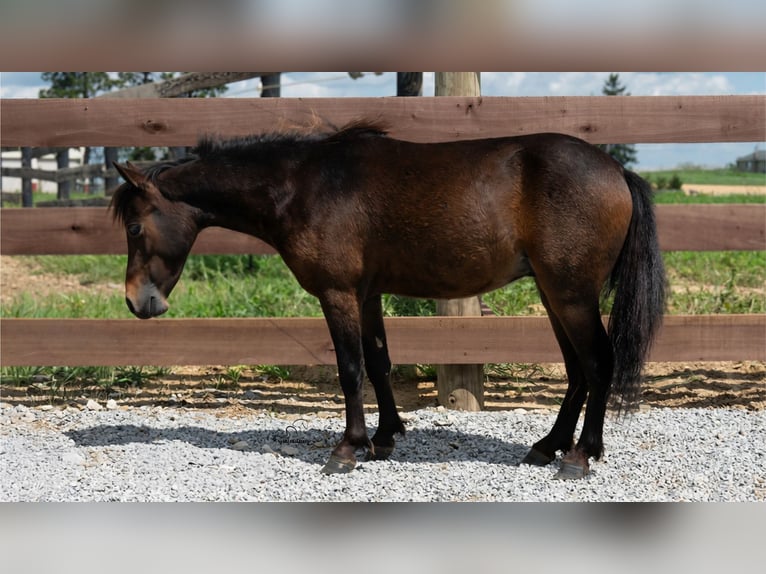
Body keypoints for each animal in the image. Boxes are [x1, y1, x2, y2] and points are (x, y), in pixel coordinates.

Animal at [111, 120, 666, 480]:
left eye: (135, 227)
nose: (137, 301)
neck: (303, 186)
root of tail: (616, 171)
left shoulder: (336, 294)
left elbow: (350, 368)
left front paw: (348, 448)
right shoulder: (367, 294)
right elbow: (378, 362)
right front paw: (384, 437)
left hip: (570, 295)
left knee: (598, 362)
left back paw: (580, 456)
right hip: (555, 295)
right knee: (577, 370)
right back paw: (549, 446)